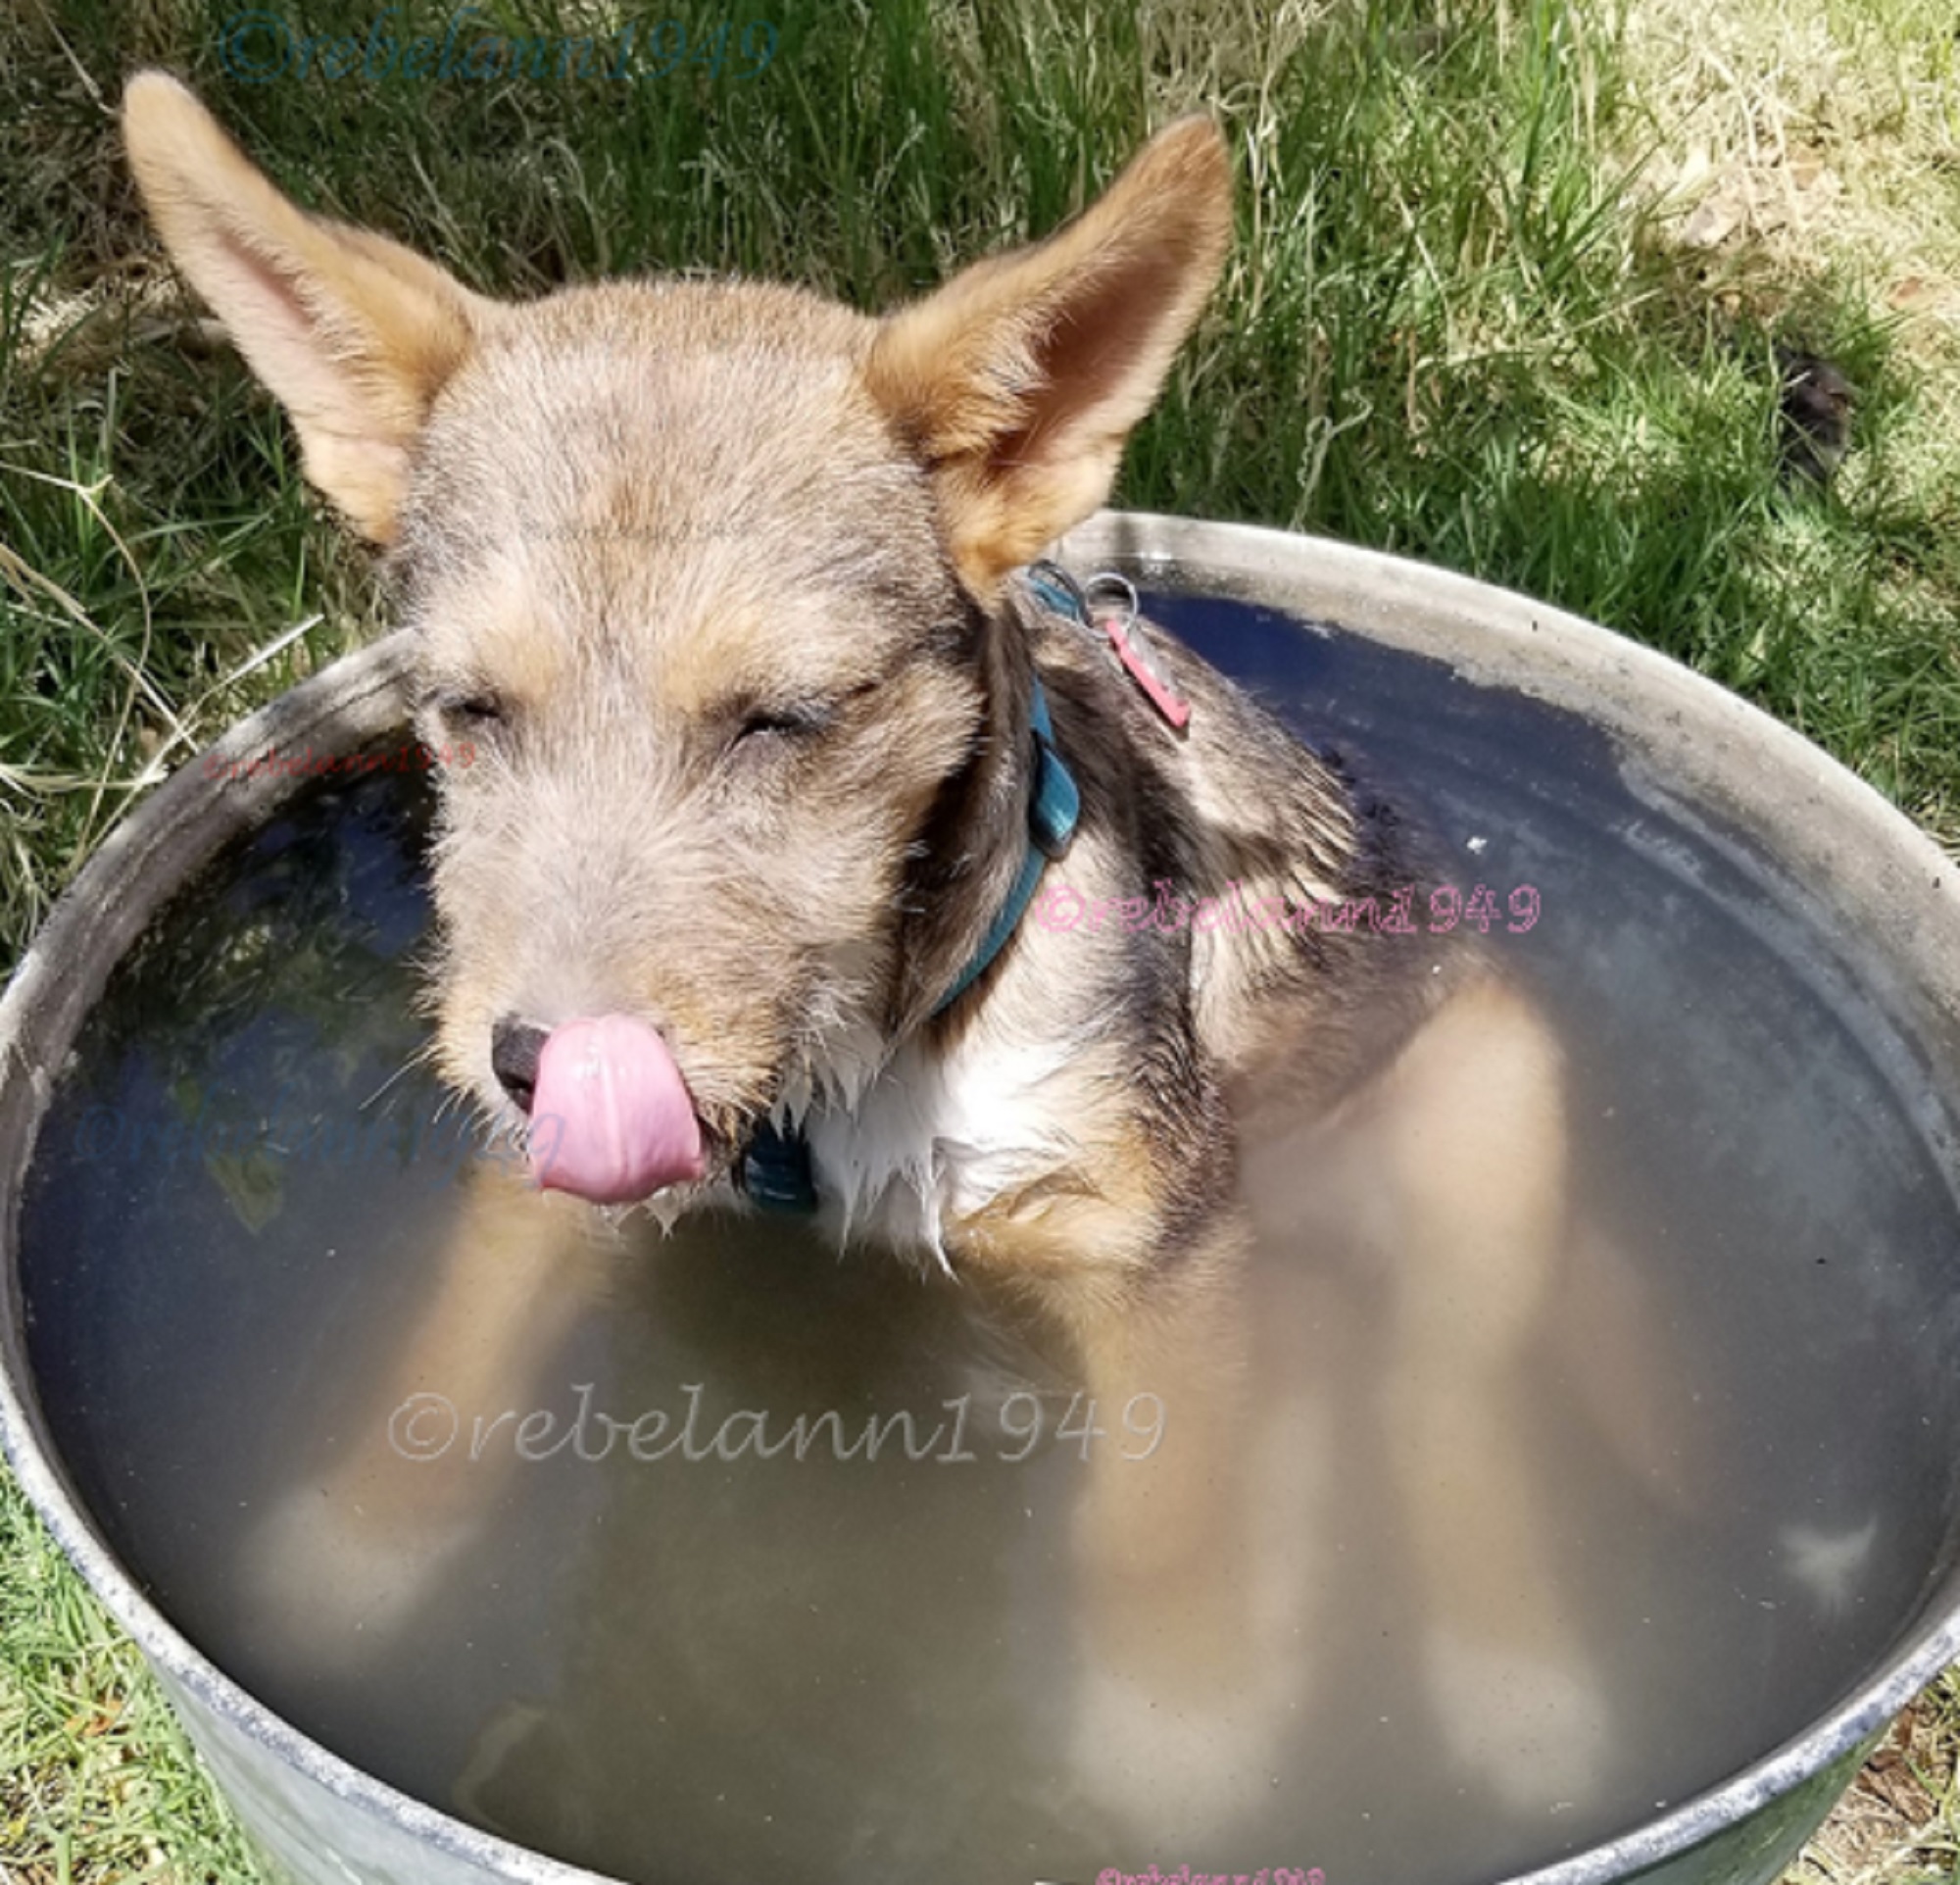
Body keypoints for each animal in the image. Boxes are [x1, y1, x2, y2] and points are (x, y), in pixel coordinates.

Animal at [126, 73, 1701, 1850]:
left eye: (783, 719)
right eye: (468, 709)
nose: (536, 1066)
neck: (876, 1051)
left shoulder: (1157, 1243)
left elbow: (1161, 1517)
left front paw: (1183, 1716)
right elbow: (454, 1360)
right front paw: (353, 1545)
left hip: (1478, 1143)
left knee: (1446, 1414)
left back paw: (1518, 1676)